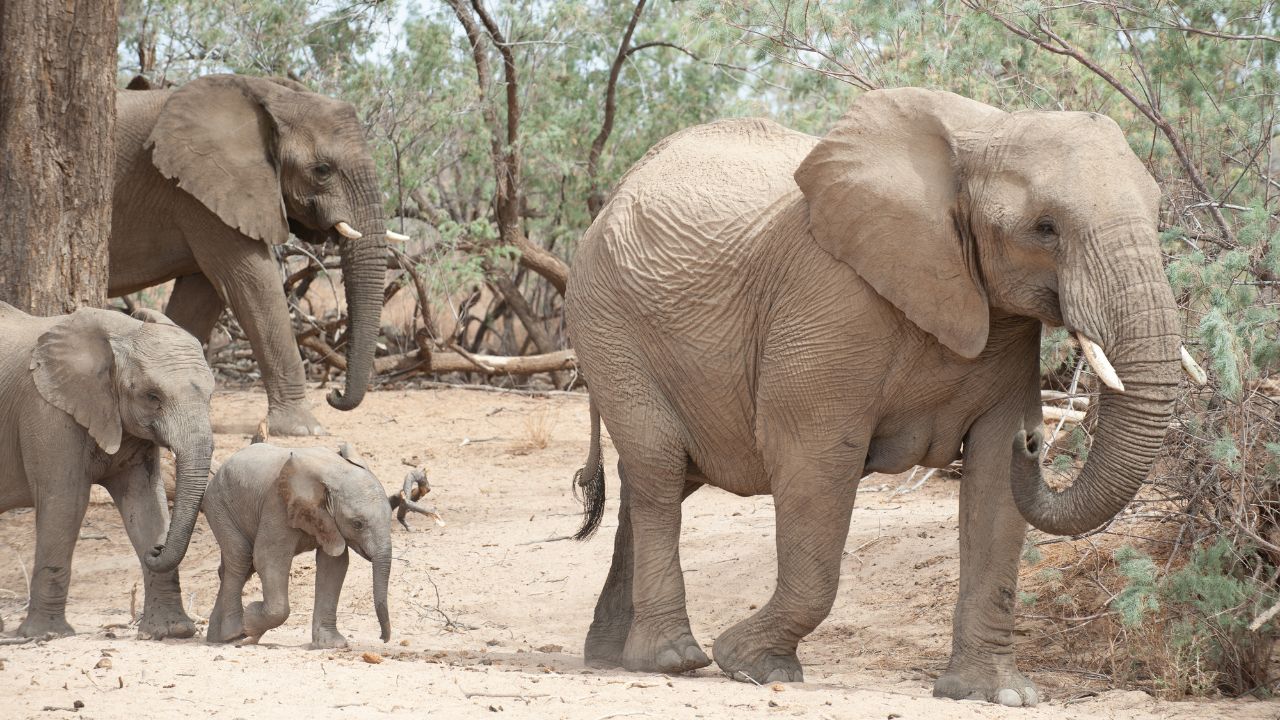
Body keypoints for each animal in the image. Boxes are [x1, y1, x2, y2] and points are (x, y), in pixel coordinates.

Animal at [0, 304, 214, 639]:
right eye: (152, 396)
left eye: (211, 396)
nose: (157, 549)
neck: (121, 332)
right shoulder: (46, 410)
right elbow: (66, 502)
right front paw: (47, 635)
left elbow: (146, 503)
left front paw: (172, 632)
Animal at [112, 73, 408, 436]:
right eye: (322, 170)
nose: (334, 394)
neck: (269, 95)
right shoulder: (200, 191)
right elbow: (253, 285)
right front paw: (304, 430)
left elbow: (202, 295)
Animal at [202, 442, 433, 648]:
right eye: (357, 524)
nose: (382, 638)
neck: (336, 472)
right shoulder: (277, 505)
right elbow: (268, 558)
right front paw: (250, 618)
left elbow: (334, 565)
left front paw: (331, 645)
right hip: (219, 505)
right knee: (242, 558)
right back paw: (234, 634)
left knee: (236, 567)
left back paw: (219, 638)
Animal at [565, 88, 1207, 705]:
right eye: (1045, 227)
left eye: (1158, 214)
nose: (1036, 441)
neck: (980, 133)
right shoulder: (829, 304)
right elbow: (817, 461)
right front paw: (751, 665)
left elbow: (994, 480)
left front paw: (996, 693)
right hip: (608, 324)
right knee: (659, 469)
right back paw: (672, 660)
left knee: (660, 478)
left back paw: (610, 658)